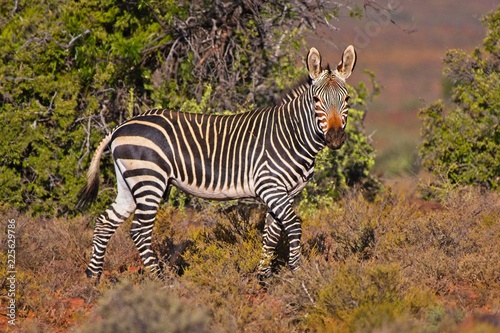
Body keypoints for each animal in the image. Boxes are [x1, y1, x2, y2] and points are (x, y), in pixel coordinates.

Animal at [77, 45, 356, 280]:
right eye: (317, 101)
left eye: (346, 100)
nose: (335, 137)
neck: (291, 135)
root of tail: (119, 128)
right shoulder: (270, 186)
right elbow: (293, 227)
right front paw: (297, 274)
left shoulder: (285, 192)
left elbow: (271, 233)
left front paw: (263, 277)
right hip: (149, 180)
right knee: (139, 231)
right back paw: (160, 280)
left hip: (129, 183)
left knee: (104, 223)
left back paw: (93, 277)